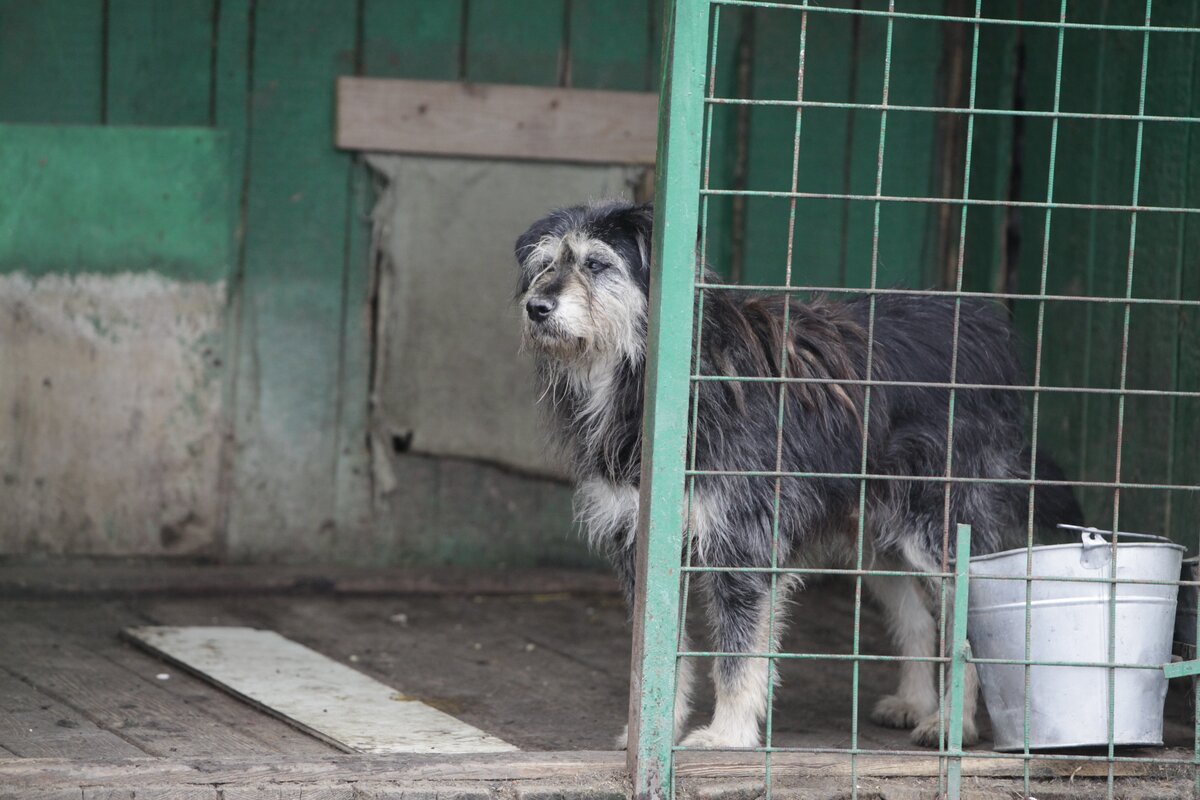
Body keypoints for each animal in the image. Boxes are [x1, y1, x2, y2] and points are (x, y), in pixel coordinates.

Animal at [511, 200, 1084, 753]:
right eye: (543, 266)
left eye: (596, 263)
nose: (536, 308)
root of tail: (982, 325)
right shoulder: (639, 546)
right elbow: (656, 652)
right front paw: (651, 733)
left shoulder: (743, 544)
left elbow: (738, 656)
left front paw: (728, 737)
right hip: (875, 536)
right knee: (916, 617)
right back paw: (915, 703)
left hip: (936, 528)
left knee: (966, 624)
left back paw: (952, 725)